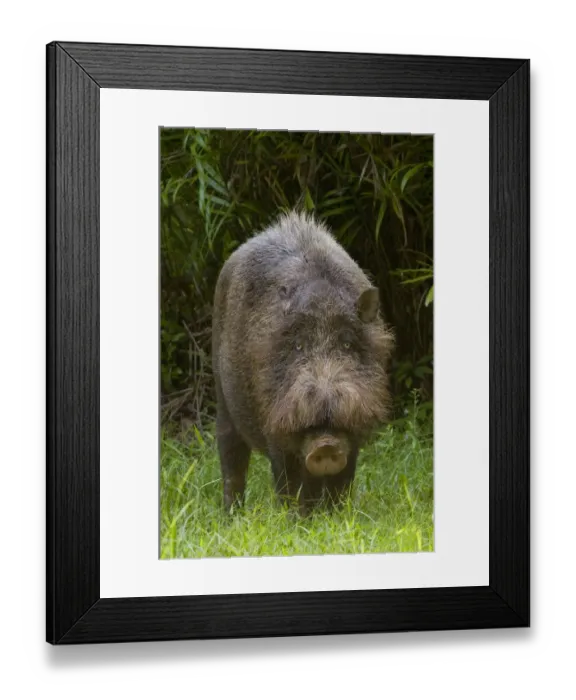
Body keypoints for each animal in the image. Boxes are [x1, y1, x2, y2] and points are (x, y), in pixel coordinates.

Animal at [211, 211, 394, 515]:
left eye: (347, 344)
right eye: (298, 346)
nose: (325, 446)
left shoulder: (353, 432)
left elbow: (342, 483)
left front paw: (335, 518)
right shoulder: (275, 423)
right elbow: (289, 485)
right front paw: (296, 521)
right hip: (221, 396)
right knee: (231, 458)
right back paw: (230, 518)